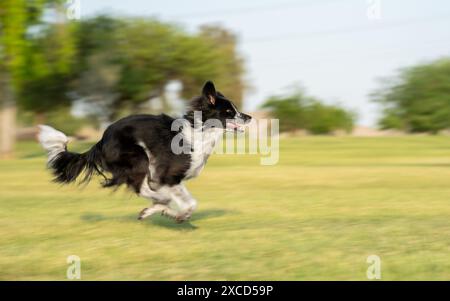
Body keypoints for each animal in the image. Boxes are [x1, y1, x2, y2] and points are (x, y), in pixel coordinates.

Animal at [38, 81, 251, 221]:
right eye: (229, 112)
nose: (249, 117)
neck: (200, 132)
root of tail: (101, 140)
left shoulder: (167, 178)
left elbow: (182, 199)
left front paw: (163, 211)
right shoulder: (168, 176)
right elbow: (190, 202)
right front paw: (178, 213)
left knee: (142, 188)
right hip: (138, 156)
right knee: (140, 187)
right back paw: (162, 201)